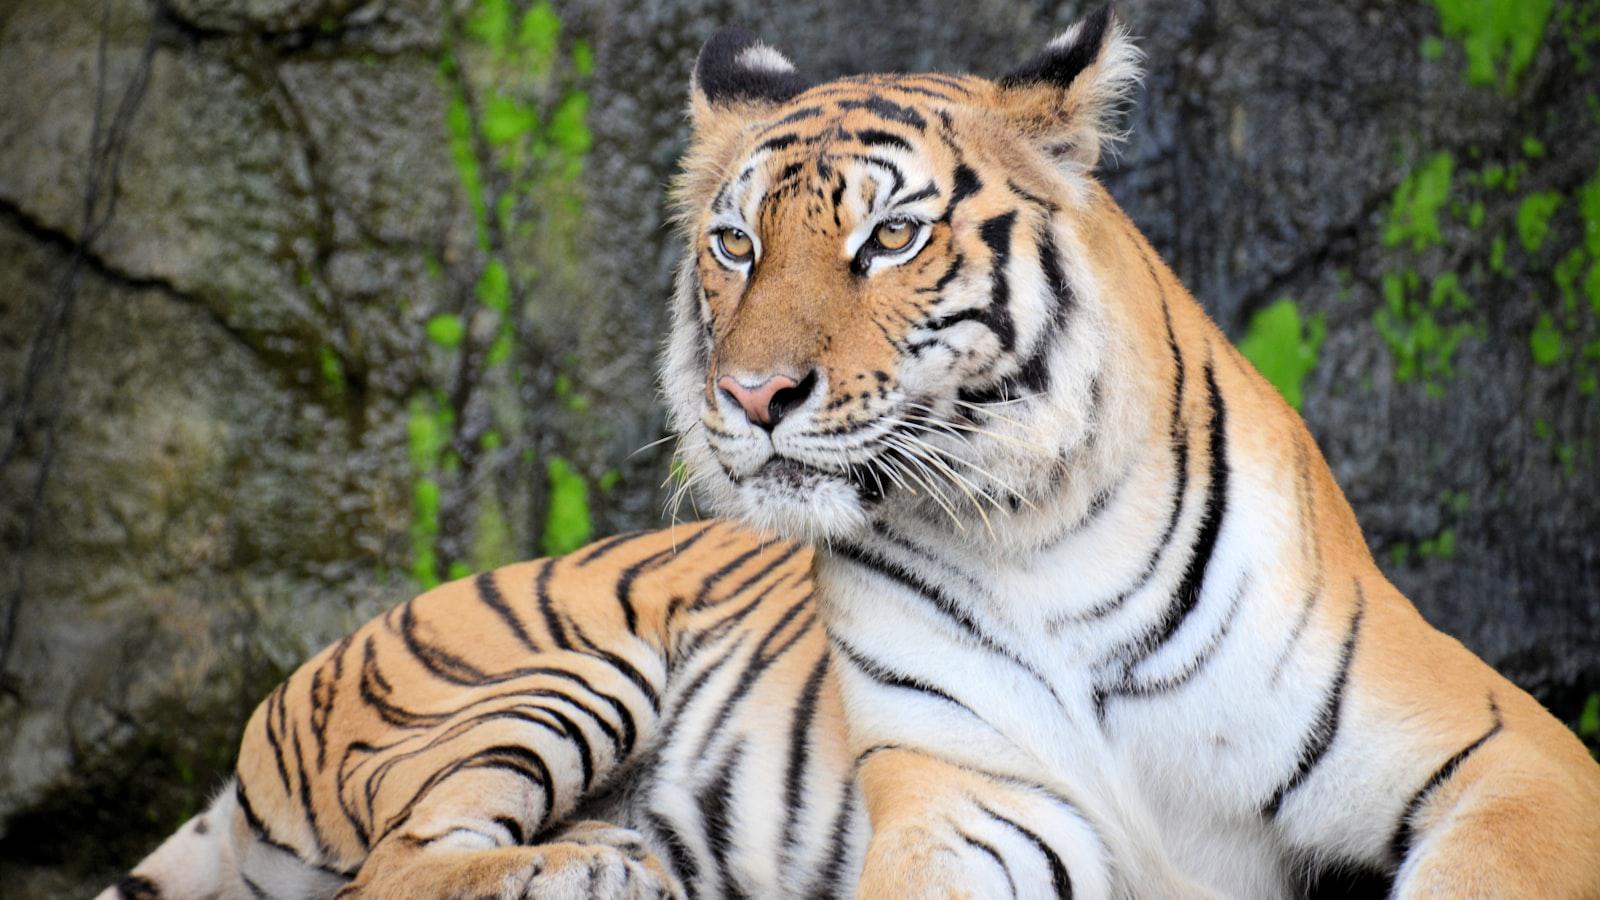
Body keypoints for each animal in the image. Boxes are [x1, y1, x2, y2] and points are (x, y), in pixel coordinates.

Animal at [100, 8, 1600, 900]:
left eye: (889, 236)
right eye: (734, 242)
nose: (752, 393)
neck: (1037, 530)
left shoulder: (1510, 759)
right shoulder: (974, 802)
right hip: (543, 675)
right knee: (400, 867)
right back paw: (600, 870)